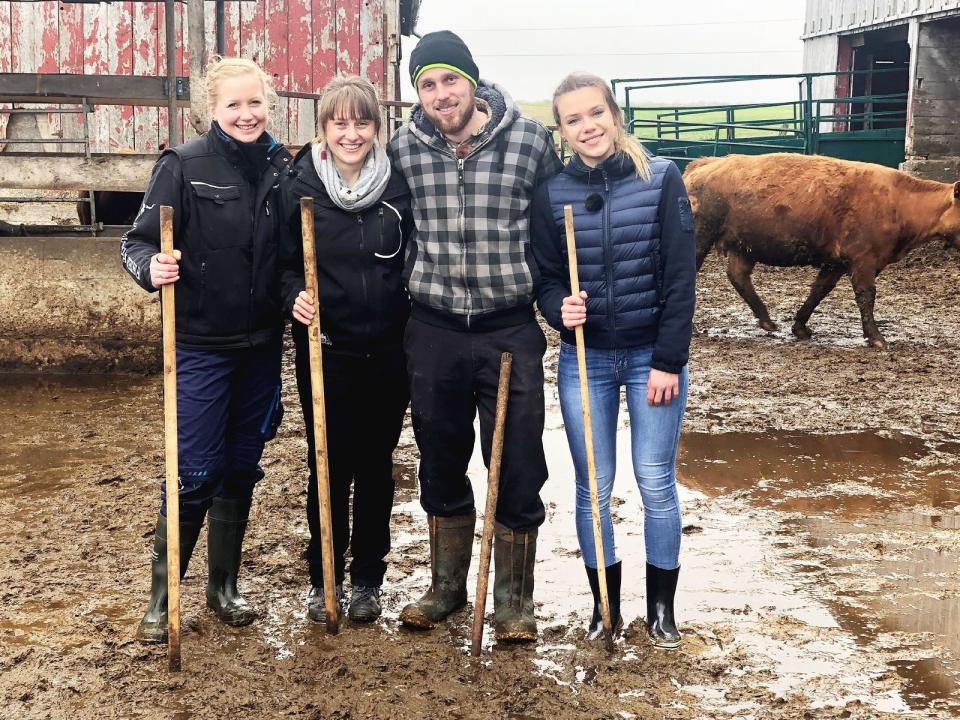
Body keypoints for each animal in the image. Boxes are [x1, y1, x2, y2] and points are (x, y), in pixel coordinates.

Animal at [688, 153, 956, 350]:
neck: (899, 201)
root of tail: (707, 164)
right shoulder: (863, 261)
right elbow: (866, 296)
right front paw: (876, 337)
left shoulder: (835, 264)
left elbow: (818, 292)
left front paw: (799, 327)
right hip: (701, 237)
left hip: (744, 246)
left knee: (738, 276)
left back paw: (766, 320)